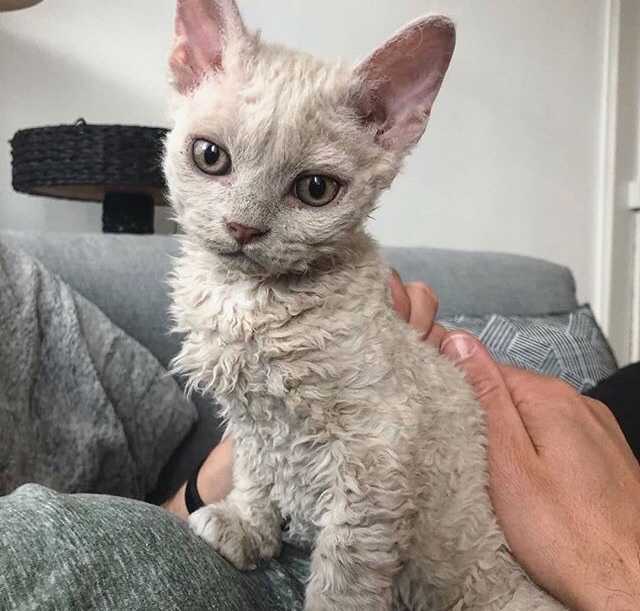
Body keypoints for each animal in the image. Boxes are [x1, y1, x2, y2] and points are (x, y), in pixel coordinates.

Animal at [164, 2, 564, 608]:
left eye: (315, 189)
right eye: (210, 157)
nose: (243, 227)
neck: (251, 304)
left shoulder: (375, 454)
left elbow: (346, 567)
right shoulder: (252, 418)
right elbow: (255, 470)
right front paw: (249, 526)